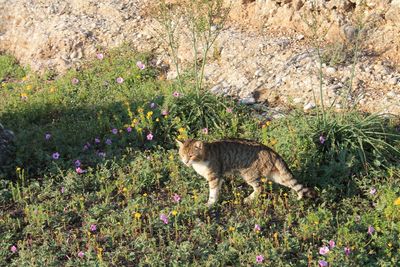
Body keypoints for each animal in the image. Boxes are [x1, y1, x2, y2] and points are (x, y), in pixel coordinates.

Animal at [177, 139, 316, 206]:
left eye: (191, 155)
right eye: (182, 155)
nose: (185, 161)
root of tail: (272, 152)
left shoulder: (214, 176)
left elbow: (213, 192)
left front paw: (210, 204)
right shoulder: (219, 177)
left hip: (249, 174)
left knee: (260, 188)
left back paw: (248, 199)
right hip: (275, 175)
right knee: (291, 183)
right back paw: (299, 196)